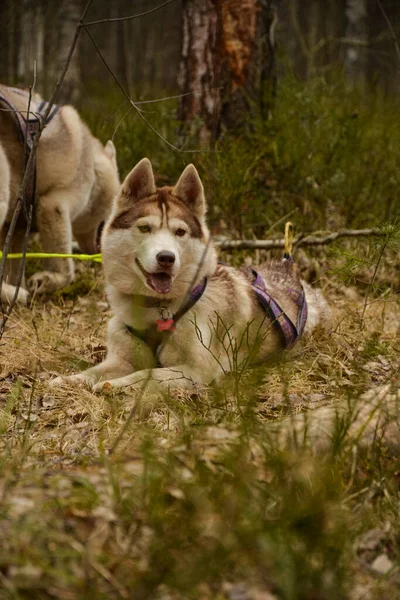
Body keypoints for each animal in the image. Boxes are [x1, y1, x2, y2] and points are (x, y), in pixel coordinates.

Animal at [0, 83, 119, 304]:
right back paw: (12, 294)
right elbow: (65, 270)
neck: (93, 167)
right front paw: (45, 281)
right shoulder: (52, 206)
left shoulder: (16, 227)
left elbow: (13, 267)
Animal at [51, 159, 330, 394]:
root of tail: (288, 269)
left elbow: (146, 374)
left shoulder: (197, 370)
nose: (166, 257)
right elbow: (94, 371)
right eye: (145, 228)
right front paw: (70, 380)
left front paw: (114, 385)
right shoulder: (121, 357)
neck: (155, 309)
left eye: (180, 232)